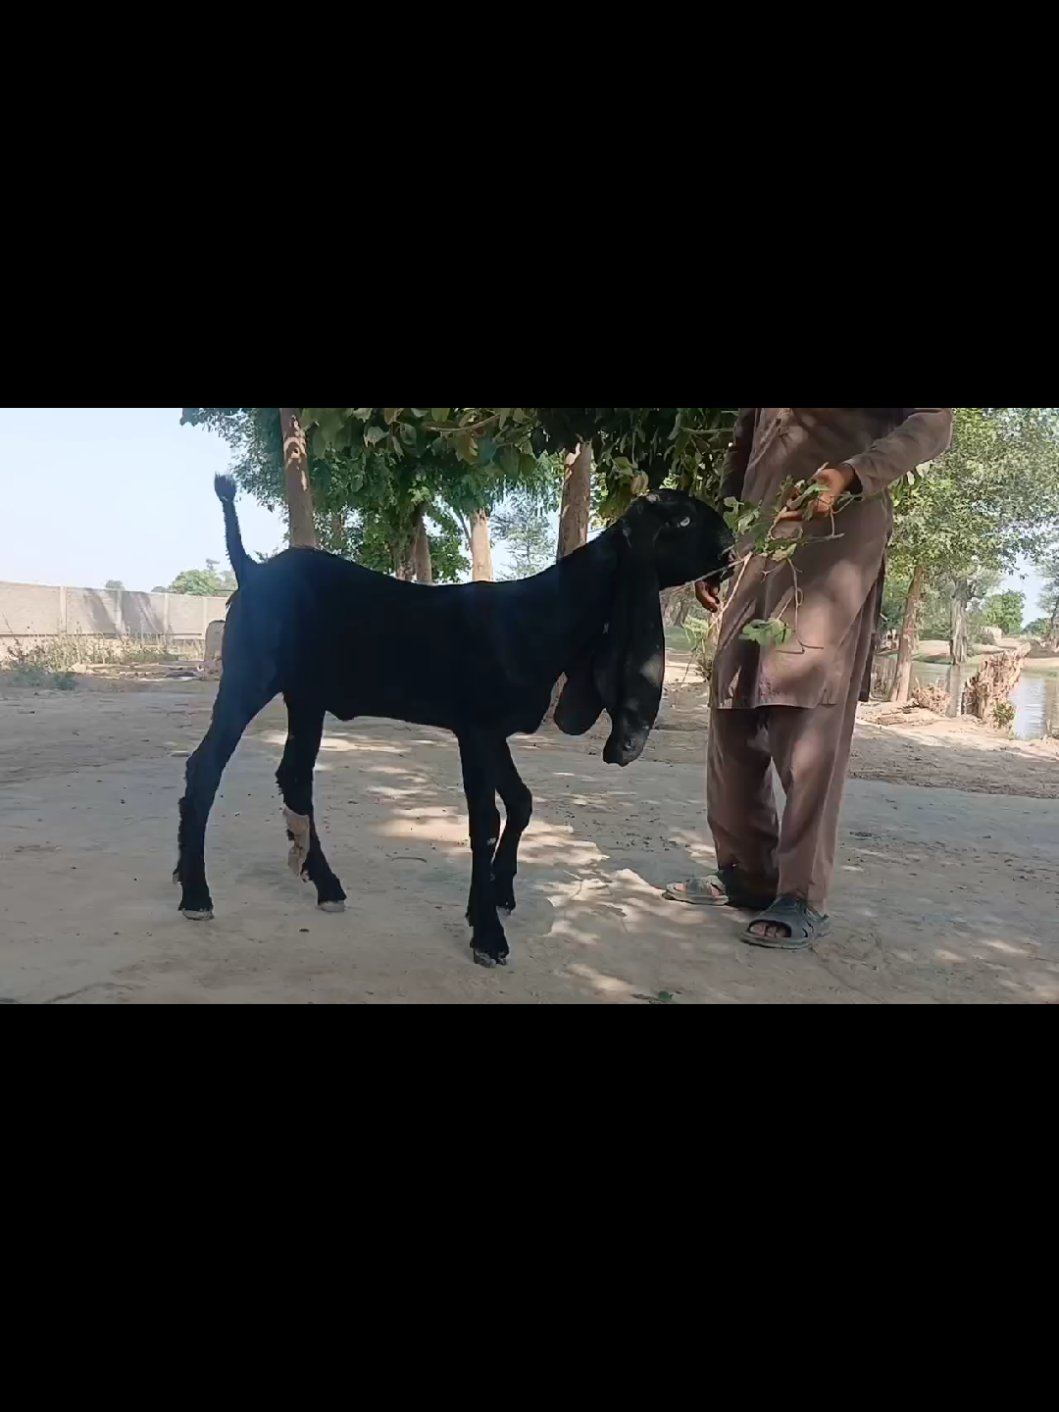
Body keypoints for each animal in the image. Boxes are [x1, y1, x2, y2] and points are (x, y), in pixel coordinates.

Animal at [175, 477, 732, 967]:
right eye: (682, 519)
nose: (729, 548)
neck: (541, 613)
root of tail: (250, 571)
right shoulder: (477, 728)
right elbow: (484, 822)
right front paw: (488, 934)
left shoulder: (491, 731)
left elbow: (521, 802)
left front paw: (499, 891)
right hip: (248, 679)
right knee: (205, 769)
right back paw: (195, 892)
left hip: (307, 697)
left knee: (294, 776)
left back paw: (325, 885)